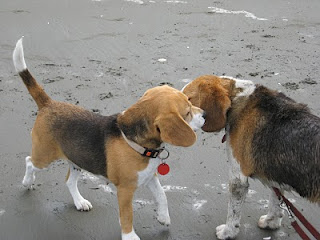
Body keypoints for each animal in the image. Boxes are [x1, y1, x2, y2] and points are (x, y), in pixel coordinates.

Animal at [12, 38, 205, 240]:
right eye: (188, 112)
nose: (205, 115)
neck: (137, 143)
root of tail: (48, 104)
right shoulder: (125, 190)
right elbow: (127, 215)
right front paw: (129, 236)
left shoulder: (150, 176)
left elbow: (162, 196)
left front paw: (163, 217)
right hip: (44, 157)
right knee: (29, 161)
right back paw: (27, 182)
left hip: (77, 159)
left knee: (69, 181)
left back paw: (80, 202)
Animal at [182, 74, 320, 238]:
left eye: (188, 99)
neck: (237, 98)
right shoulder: (275, 175)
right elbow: (276, 200)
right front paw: (271, 222)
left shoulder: (237, 179)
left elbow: (233, 212)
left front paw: (228, 232)